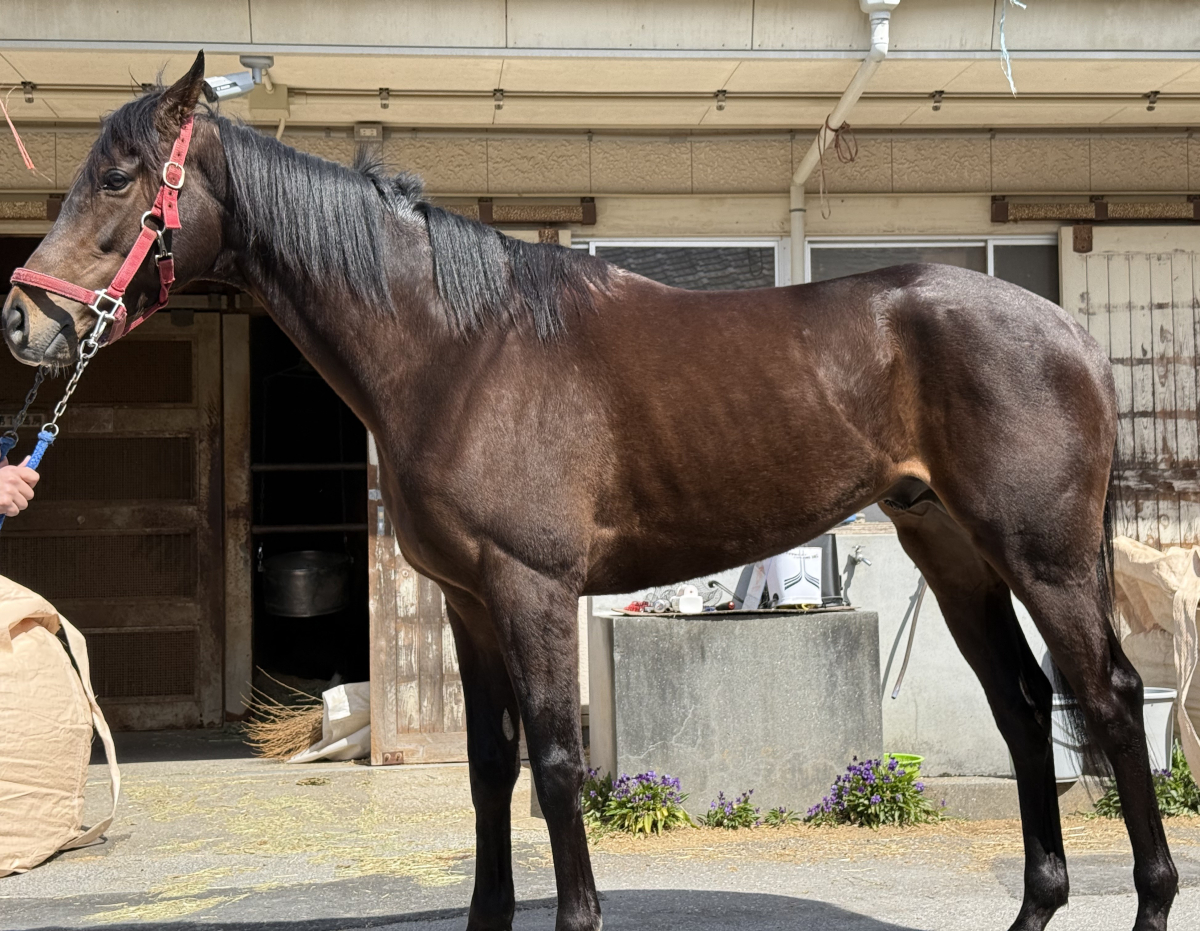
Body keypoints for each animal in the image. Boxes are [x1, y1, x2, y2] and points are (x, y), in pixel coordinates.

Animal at [1, 52, 1177, 931]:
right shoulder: (469, 603)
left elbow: (558, 764)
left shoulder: (532, 590)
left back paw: (1152, 897)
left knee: (1111, 702)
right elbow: (489, 768)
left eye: (120, 179)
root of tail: (1072, 333)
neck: (461, 348)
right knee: (1022, 707)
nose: (23, 319)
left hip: (1043, 556)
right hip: (953, 547)